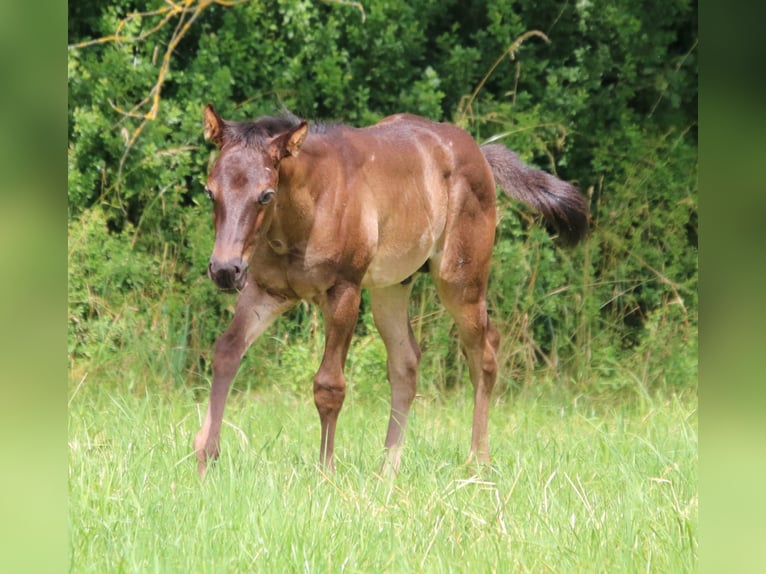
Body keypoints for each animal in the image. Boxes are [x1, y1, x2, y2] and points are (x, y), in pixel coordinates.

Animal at [194, 104, 588, 476]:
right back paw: (388, 469)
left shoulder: (344, 291)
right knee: (406, 362)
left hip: (461, 280)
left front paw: (326, 472)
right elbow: (226, 352)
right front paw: (204, 458)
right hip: (392, 287)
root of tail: (479, 152)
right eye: (210, 191)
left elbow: (329, 385)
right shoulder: (265, 290)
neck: (308, 208)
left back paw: (477, 461)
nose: (225, 270)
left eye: (265, 195)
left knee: (485, 351)